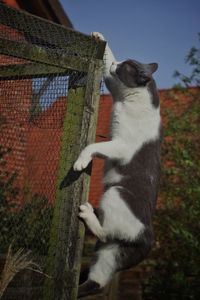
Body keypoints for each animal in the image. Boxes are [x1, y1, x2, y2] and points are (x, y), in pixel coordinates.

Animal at [73, 32, 162, 298]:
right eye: (121, 61)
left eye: (125, 67)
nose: (116, 64)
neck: (129, 99)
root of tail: (148, 238)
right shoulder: (113, 85)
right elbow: (106, 61)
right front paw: (99, 37)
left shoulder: (122, 145)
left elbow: (91, 146)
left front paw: (80, 162)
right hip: (108, 253)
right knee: (97, 280)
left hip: (115, 193)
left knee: (105, 230)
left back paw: (88, 213)